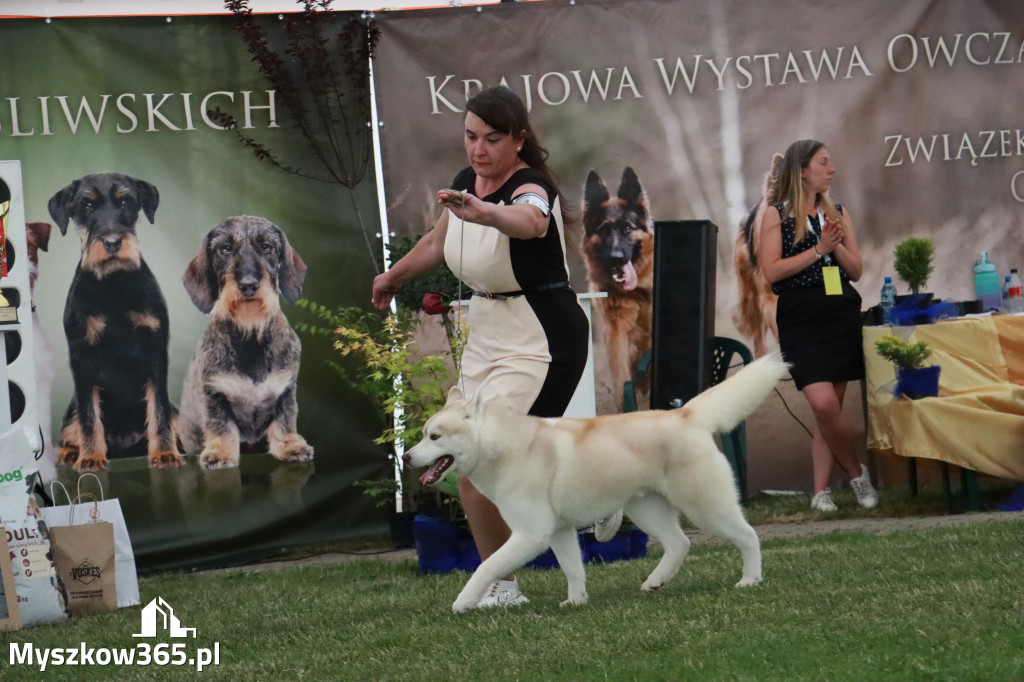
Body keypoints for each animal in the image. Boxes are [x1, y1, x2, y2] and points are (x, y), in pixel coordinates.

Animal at [403, 350, 786, 610]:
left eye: (435, 437)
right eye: (422, 435)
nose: (406, 457)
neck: (507, 447)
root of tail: (686, 414)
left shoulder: (530, 535)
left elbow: (486, 566)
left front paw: (464, 602)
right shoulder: (559, 531)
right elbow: (573, 569)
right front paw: (576, 601)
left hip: (705, 507)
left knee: (748, 536)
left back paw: (750, 579)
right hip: (646, 509)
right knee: (679, 543)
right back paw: (655, 582)